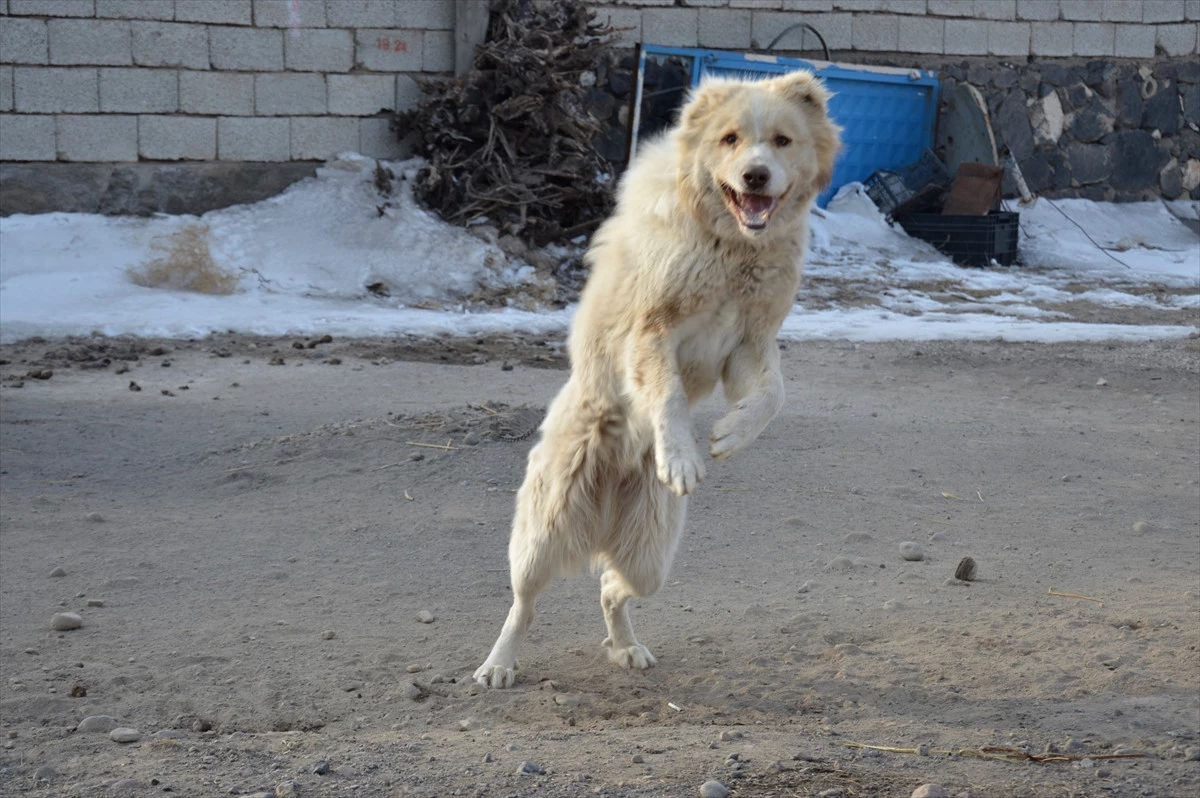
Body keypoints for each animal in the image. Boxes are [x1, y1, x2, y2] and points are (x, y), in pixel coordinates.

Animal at [472, 71, 840, 686]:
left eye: (782, 141)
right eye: (730, 139)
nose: (755, 175)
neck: (731, 247)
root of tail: (603, 505)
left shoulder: (749, 346)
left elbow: (773, 395)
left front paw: (730, 435)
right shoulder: (648, 332)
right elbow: (666, 393)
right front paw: (683, 457)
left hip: (651, 551)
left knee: (612, 587)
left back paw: (625, 646)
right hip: (544, 533)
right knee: (523, 604)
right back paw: (499, 664)